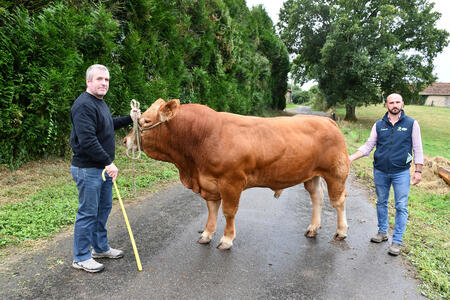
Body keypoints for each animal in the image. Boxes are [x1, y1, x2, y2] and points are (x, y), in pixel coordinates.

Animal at [125, 99, 350, 250]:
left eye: (146, 121)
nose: (126, 141)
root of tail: (327, 121)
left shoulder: (231, 181)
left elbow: (228, 211)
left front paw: (226, 240)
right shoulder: (209, 183)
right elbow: (212, 210)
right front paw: (206, 234)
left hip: (336, 172)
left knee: (338, 202)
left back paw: (341, 232)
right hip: (312, 175)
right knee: (317, 197)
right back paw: (312, 228)